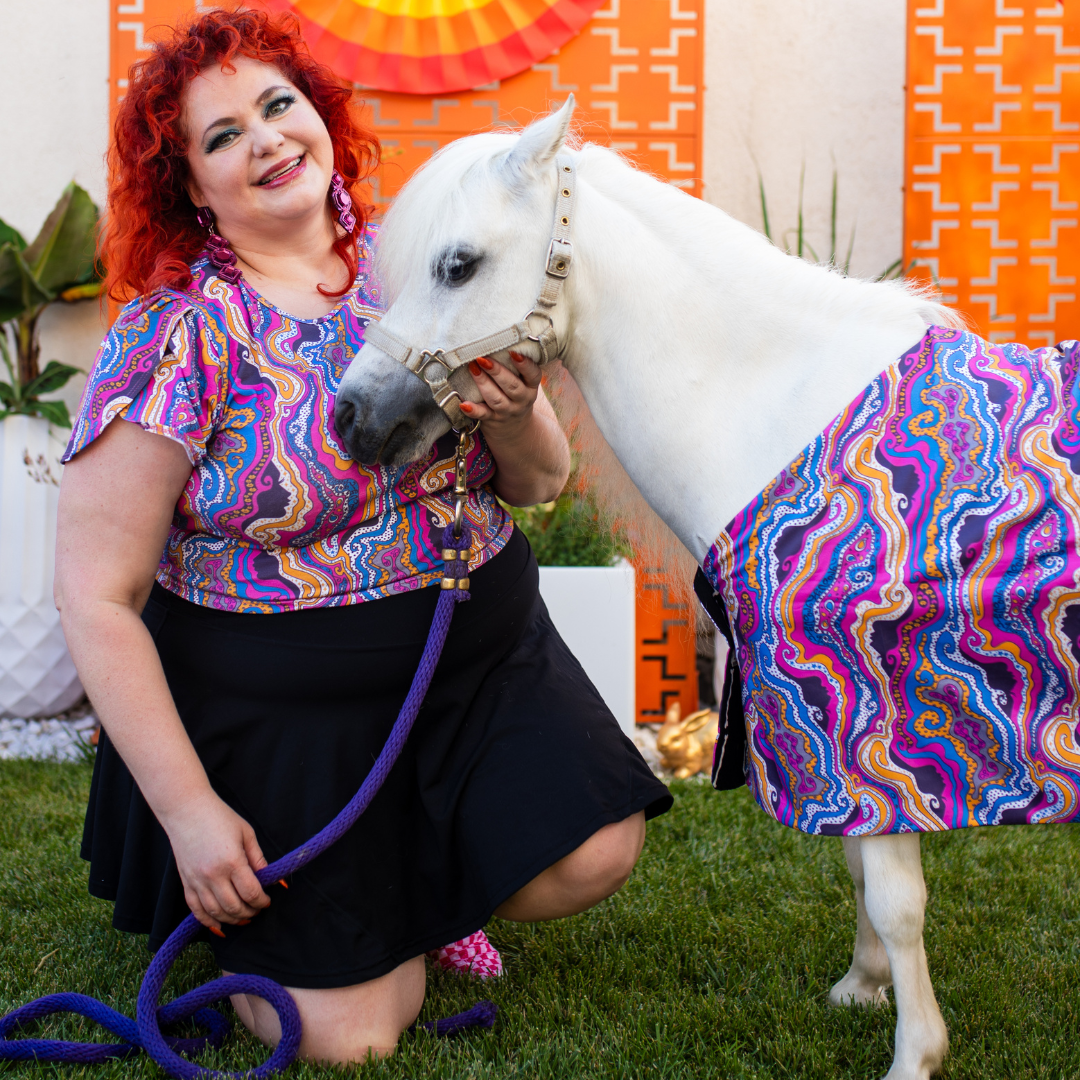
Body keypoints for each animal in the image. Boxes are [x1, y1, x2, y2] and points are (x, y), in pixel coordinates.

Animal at [334, 101, 963, 1080]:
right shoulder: (835, 735)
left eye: (458, 264)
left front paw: (913, 1054)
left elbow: (895, 896)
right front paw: (863, 989)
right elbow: (863, 868)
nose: (349, 418)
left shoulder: (865, 717)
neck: (784, 413)